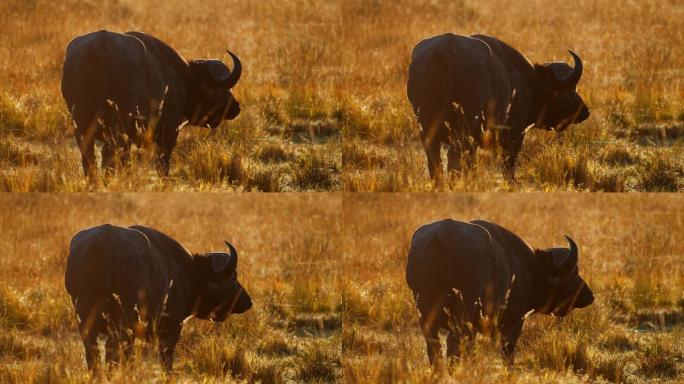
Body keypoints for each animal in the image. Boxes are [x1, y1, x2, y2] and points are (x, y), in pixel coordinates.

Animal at [61, 30, 243, 177]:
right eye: (218, 89)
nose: (235, 107)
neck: (181, 79)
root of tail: (101, 43)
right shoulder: (169, 133)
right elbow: (163, 165)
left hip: (82, 127)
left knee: (90, 159)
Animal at [63, 224, 251, 370]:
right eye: (233, 277)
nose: (247, 302)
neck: (187, 272)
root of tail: (104, 239)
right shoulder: (172, 328)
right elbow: (166, 361)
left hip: (86, 322)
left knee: (94, 354)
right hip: (122, 324)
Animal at [406, 33, 588, 182]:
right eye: (570, 90)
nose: (585, 112)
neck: (528, 82)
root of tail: (447, 47)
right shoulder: (514, 136)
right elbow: (508, 168)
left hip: (428, 129)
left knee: (435, 162)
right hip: (463, 131)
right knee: (454, 160)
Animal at [406, 219, 592, 366]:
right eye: (574, 272)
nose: (590, 296)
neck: (526, 268)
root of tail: (444, 234)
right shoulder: (514, 322)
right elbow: (507, 354)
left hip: (426, 313)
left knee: (434, 346)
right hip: (463, 314)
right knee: (453, 344)